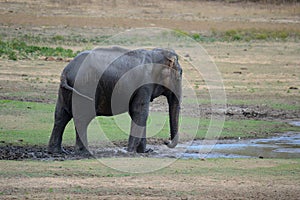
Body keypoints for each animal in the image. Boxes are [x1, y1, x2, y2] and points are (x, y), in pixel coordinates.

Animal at [48, 46, 182, 154]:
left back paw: (57, 152)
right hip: (84, 87)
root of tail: (66, 71)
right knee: (81, 118)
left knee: (61, 116)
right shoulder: (144, 86)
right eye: (180, 74)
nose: (166, 141)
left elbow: (136, 113)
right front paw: (130, 152)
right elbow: (140, 112)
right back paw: (85, 152)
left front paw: (145, 152)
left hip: (66, 91)